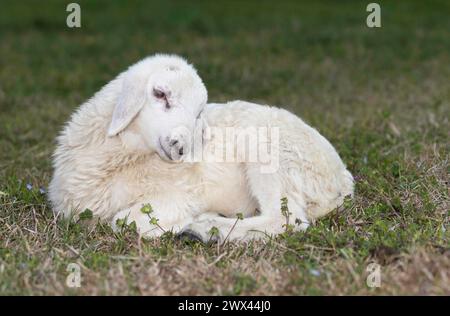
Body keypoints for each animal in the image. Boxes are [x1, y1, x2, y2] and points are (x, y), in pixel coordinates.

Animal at [48, 54, 352, 242]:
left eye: (198, 113)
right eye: (160, 93)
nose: (180, 147)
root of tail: (343, 180)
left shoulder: (182, 194)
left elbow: (124, 222)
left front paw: (179, 224)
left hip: (273, 154)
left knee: (286, 220)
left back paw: (204, 229)